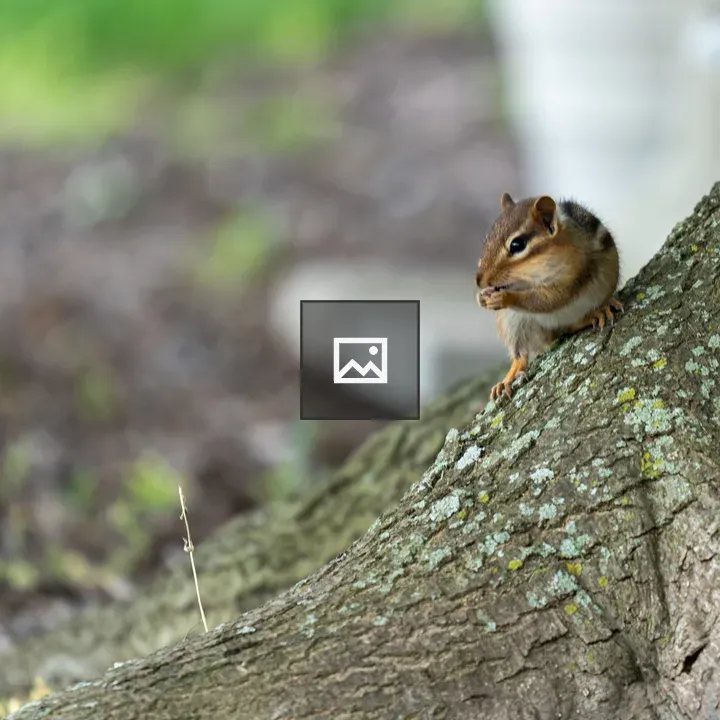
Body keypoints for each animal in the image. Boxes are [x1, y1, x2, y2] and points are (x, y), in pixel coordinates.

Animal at [476, 192, 623, 401]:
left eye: (517, 245)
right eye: (487, 241)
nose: (479, 280)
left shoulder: (571, 275)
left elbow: (550, 299)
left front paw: (505, 298)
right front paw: (482, 297)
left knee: (570, 325)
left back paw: (598, 311)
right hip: (514, 322)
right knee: (521, 353)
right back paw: (507, 379)